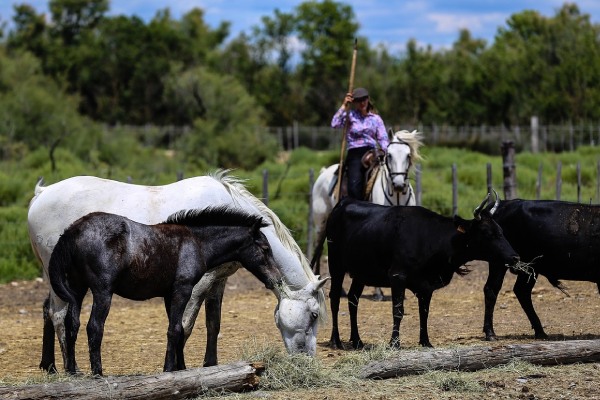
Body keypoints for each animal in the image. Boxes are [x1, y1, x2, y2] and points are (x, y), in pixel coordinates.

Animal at [28, 170, 328, 374]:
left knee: (49, 312)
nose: (307, 359)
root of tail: (41, 194)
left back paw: (50, 365)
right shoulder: (194, 286)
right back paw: (70, 368)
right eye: (313, 315)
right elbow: (184, 326)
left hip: (60, 280)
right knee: (58, 316)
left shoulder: (217, 281)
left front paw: (209, 365)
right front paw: (176, 368)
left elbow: (212, 324)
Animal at [312, 130, 424, 294]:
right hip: (321, 221)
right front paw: (378, 292)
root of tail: (324, 172)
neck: (397, 197)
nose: (398, 184)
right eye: (389, 155)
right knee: (318, 248)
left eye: (408, 155)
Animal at [326, 197, 516, 350]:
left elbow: (424, 312)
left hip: (360, 273)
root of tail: (344, 202)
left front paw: (426, 342)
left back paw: (357, 341)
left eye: (501, 231)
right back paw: (336, 341)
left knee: (353, 300)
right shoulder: (397, 276)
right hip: (335, 265)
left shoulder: (427, 285)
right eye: (487, 233)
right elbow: (398, 310)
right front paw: (394, 343)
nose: (515, 256)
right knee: (335, 298)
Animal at [486, 200, 600, 340]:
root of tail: (504, 204)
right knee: (492, 289)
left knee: (521, 291)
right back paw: (490, 333)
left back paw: (540, 331)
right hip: (499, 263)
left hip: (529, 268)